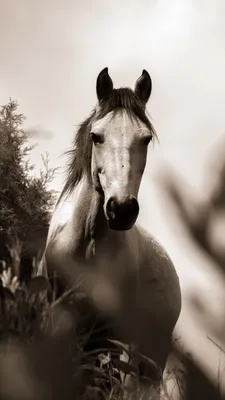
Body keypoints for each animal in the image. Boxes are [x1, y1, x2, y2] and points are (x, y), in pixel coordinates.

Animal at [38, 69, 181, 396]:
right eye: (96, 136)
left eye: (145, 138)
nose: (122, 209)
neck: (87, 243)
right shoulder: (57, 317)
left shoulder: (107, 336)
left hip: (149, 354)